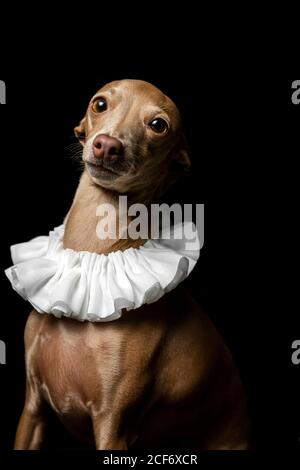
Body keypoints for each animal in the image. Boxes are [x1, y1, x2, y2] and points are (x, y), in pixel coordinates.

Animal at [14, 79, 248, 450]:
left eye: (158, 125)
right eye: (100, 104)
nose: (107, 146)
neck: (91, 255)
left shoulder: (113, 426)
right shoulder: (33, 410)